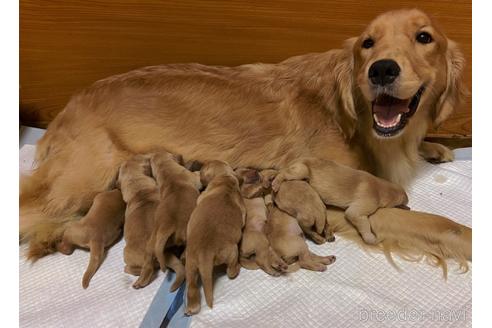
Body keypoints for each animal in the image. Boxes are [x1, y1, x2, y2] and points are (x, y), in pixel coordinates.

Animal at [134, 151, 201, 290]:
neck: (167, 171)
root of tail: (167, 227)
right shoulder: (193, 177)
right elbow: (197, 176)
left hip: (151, 243)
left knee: (148, 261)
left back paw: (141, 281)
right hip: (187, 234)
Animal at [184, 161, 246, 316]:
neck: (225, 180)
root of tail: (205, 253)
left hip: (191, 265)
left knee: (192, 286)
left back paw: (192, 307)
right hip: (230, 253)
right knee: (230, 272)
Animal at [272, 158, 408, 245]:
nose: (409, 207)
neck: (381, 188)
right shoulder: (356, 212)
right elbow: (365, 226)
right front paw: (370, 238)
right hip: (301, 170)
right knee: (282, 174)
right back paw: (275, 184)